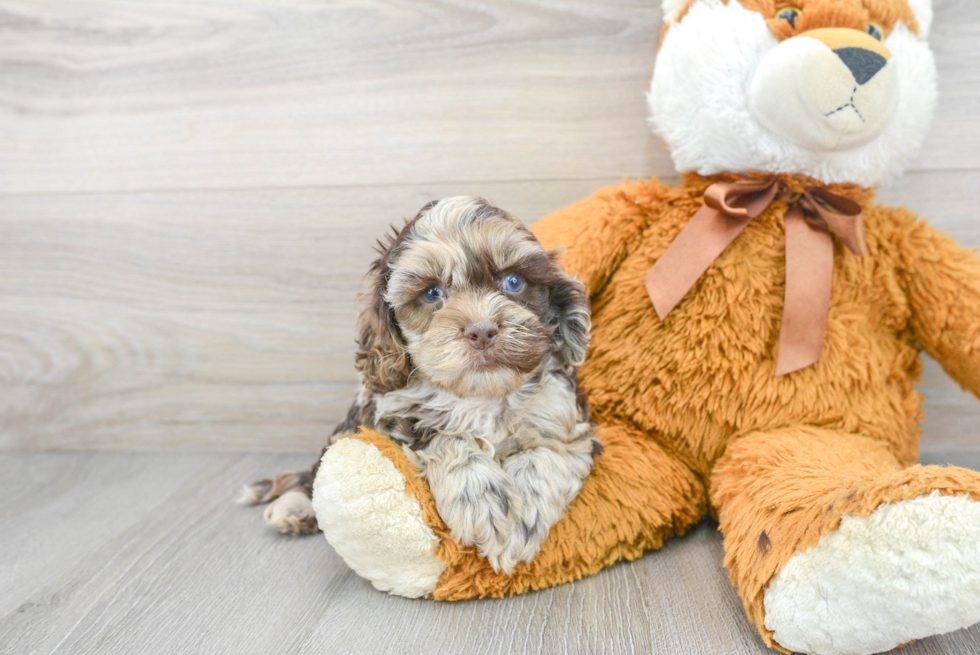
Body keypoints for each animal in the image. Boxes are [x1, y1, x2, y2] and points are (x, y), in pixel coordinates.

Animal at [244, 196, 596, 576]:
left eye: (514, 282)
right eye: (431, 293)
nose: (482, 330)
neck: (481, 396)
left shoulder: (565, 419)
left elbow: (545, 454)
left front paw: (523, 517)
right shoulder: (393, 416)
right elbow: (445, 436)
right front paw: (483, 503)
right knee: (315, 473)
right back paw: (295, 507)